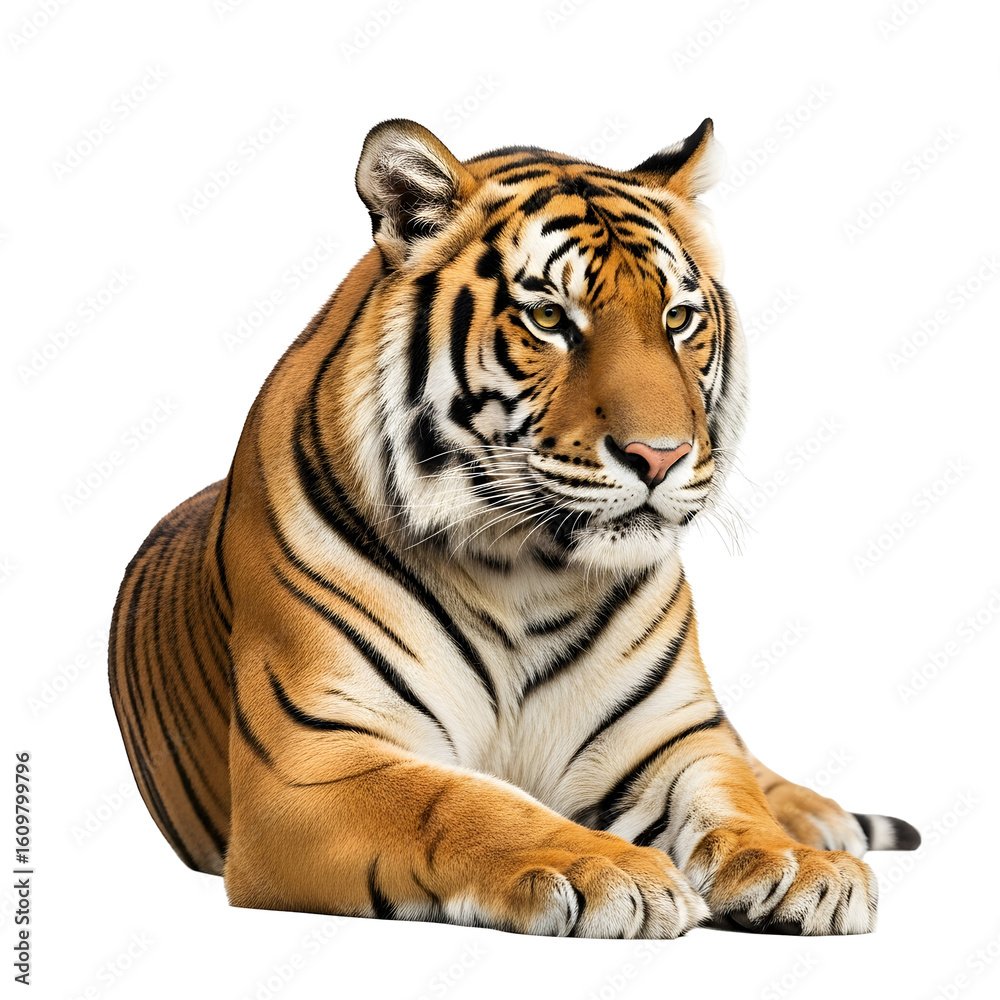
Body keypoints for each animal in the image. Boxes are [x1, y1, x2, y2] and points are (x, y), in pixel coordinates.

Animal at [108, 118, 920, 939]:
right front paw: (611, 870)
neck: (522, 569)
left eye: (677, 319)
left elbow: (732, 796)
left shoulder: (672, 735)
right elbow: (466, 802)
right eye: (550, 318)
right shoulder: (313, 760)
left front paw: (802, 866)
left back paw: (821, 822)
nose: (660, 456)